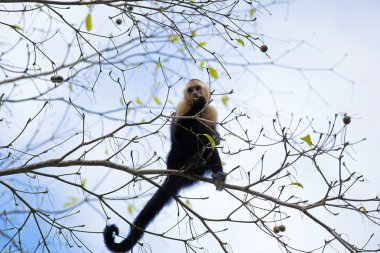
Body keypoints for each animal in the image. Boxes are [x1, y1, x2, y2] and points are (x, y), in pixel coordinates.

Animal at [104, 78, 226, 251]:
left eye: (198, 88)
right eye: (191, 90)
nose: (195, 94)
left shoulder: (211, 111)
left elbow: (212, 136)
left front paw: (215, 136)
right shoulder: (182, 107)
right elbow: (179, 135)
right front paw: (197, 107)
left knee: (210, 146)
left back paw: (217, 174)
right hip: (173, 161)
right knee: (185, 141)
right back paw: (193, 161)